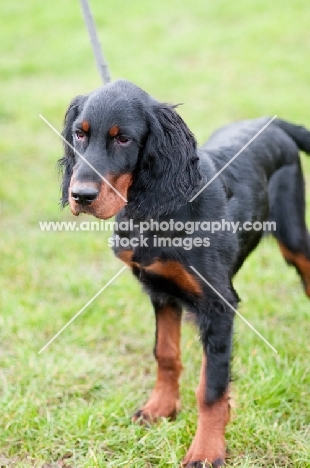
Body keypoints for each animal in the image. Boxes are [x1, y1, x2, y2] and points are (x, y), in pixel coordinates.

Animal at [58, 78, 310, 466]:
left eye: (123, 139)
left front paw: (206, 449)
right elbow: (165, 354)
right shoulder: (161, 290)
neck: (159, 209)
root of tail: (273, 122)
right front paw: (160, 408)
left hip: (293, 234)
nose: (81, 195)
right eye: (79, 134)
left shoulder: (219, 306)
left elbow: (212, 387)